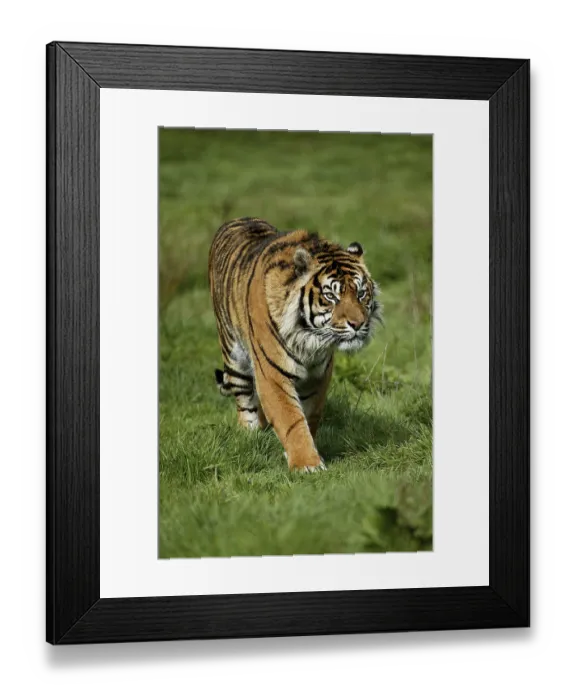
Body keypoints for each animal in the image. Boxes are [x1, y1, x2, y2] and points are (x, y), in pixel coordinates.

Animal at [208, 217, 381, 473]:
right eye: (331, 296)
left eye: (361, 293)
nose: (358, 324)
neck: (309, 338)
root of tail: (237, 220)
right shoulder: (272, 376)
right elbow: (290, 418)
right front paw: (307, 464)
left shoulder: (318, 376)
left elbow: (309, 416)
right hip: (234, 356)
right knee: (245, 403)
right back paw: (251, 436)